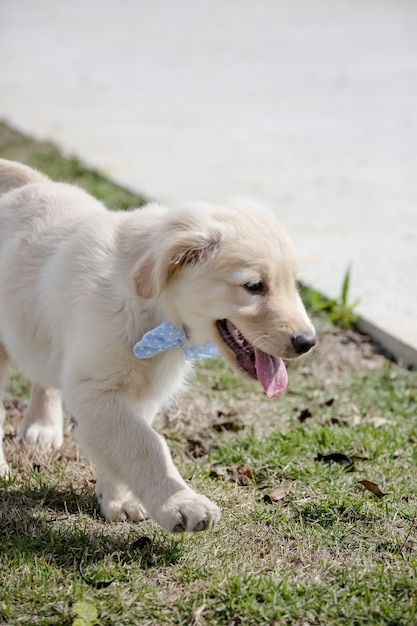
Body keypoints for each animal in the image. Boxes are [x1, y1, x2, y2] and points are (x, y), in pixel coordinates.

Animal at [0, 158, 314, 528]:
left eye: (293, 283)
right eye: (254, 286)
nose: (308, 342)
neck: (154, 310)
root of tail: (34, 184)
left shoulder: (137, 394)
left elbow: (123, 446)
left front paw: (117, 500)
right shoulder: (96, 390)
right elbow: (145, 444)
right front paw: (181, 504)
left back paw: (43, 427)